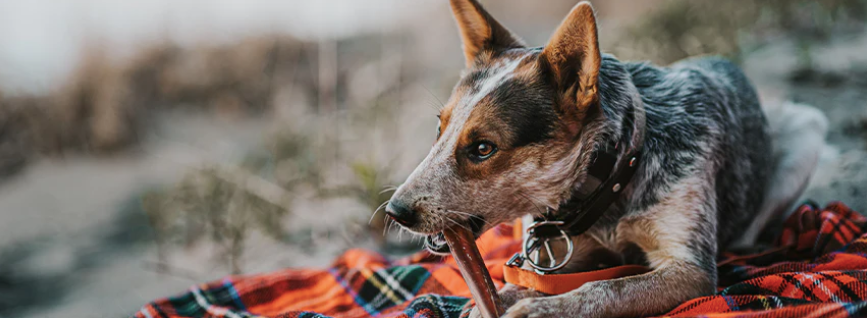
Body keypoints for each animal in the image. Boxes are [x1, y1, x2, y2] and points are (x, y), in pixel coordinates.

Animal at [384, 1, 828, 316]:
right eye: (439, 129)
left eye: (482, 148)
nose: (394, 211)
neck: (614, 174)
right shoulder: (553, 255)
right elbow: (516, 282)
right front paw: (499, 300)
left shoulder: (690, 269)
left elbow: (607, 287)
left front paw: (542, 310)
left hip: (807, 129)